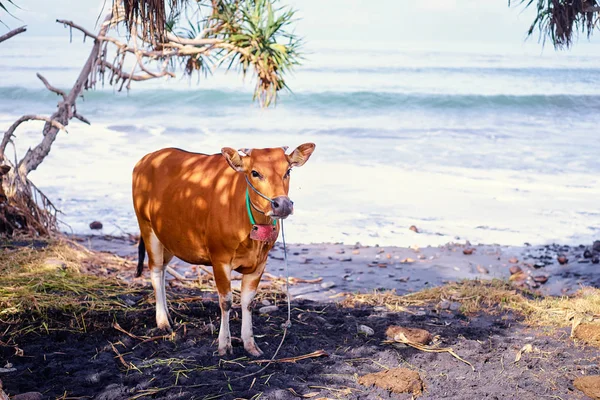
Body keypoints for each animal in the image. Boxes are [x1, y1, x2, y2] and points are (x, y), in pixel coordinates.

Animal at [133, 144, 316, 356]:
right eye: (255, 173)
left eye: (288, 171)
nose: (283, 205)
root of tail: (147, 158)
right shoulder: (220, 259)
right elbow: (226, 301)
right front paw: (224, 344)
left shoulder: (260, 262)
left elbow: (248, 302)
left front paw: (250, 344)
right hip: (147, 227)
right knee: (155, 271)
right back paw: (162, 321)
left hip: (168, 238)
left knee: (162, 271)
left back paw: (168, 315)